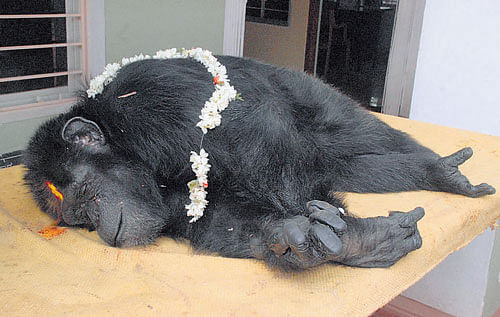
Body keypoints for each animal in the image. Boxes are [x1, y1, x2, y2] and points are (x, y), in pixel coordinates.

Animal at [24, 56, 496, 270]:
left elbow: (259, 141)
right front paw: (293, 238)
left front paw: (348, 237)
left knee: (357, 136)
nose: (100, 227)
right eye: (79, 221)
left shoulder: (158, 105)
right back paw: (432, 175)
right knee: (349, 167)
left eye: (87, 195)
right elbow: (216, 216)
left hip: (315, 96)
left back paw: (439, 170)